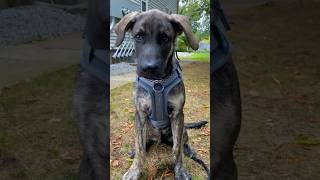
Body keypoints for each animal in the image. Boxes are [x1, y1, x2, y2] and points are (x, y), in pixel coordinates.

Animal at [115, 9, 204, 179]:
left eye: (165, 38)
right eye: (138, 36)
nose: (149, 68)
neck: (158, 83)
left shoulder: (177, 114)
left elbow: (177, 149)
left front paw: (180, 170)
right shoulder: (140, 113)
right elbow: (140, 147)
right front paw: (134, 170)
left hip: (182, 129)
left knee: (182, 142)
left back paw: (189, 151)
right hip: (147, 128)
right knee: (143, 143)